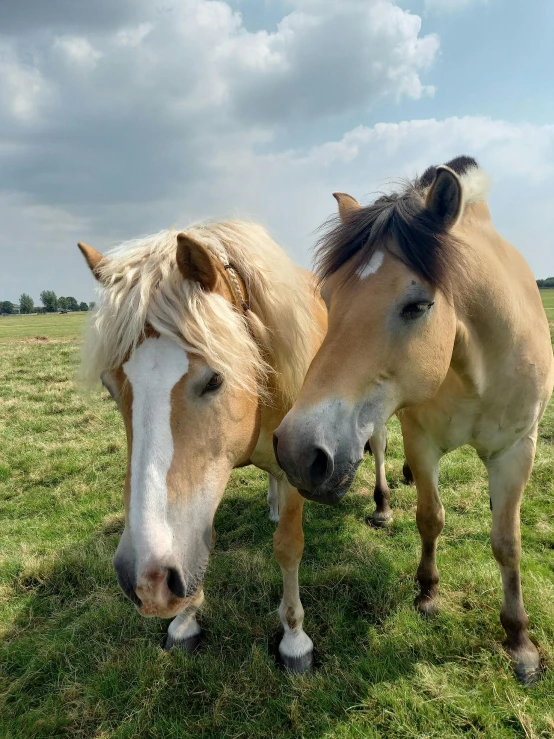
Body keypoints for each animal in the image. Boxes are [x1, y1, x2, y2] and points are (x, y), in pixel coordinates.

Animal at [77, 220, 388, 672]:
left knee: (378, 445)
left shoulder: (300, 463)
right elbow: (201, 538)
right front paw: (186, 620)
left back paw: (383, 507)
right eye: (110, 386)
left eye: (214, 380)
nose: (148, 581)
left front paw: (294, 640)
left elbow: (288, 547)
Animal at [274, 156, 552, 684]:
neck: (475, 366)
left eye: (418, 305)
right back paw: (384, 503)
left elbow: (507, 542)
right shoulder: (421, 439)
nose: (298, 452)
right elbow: (430, 517)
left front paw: (520, 641)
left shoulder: (517, 448)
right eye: (328, 299)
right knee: (381, 450)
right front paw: (427, 593)